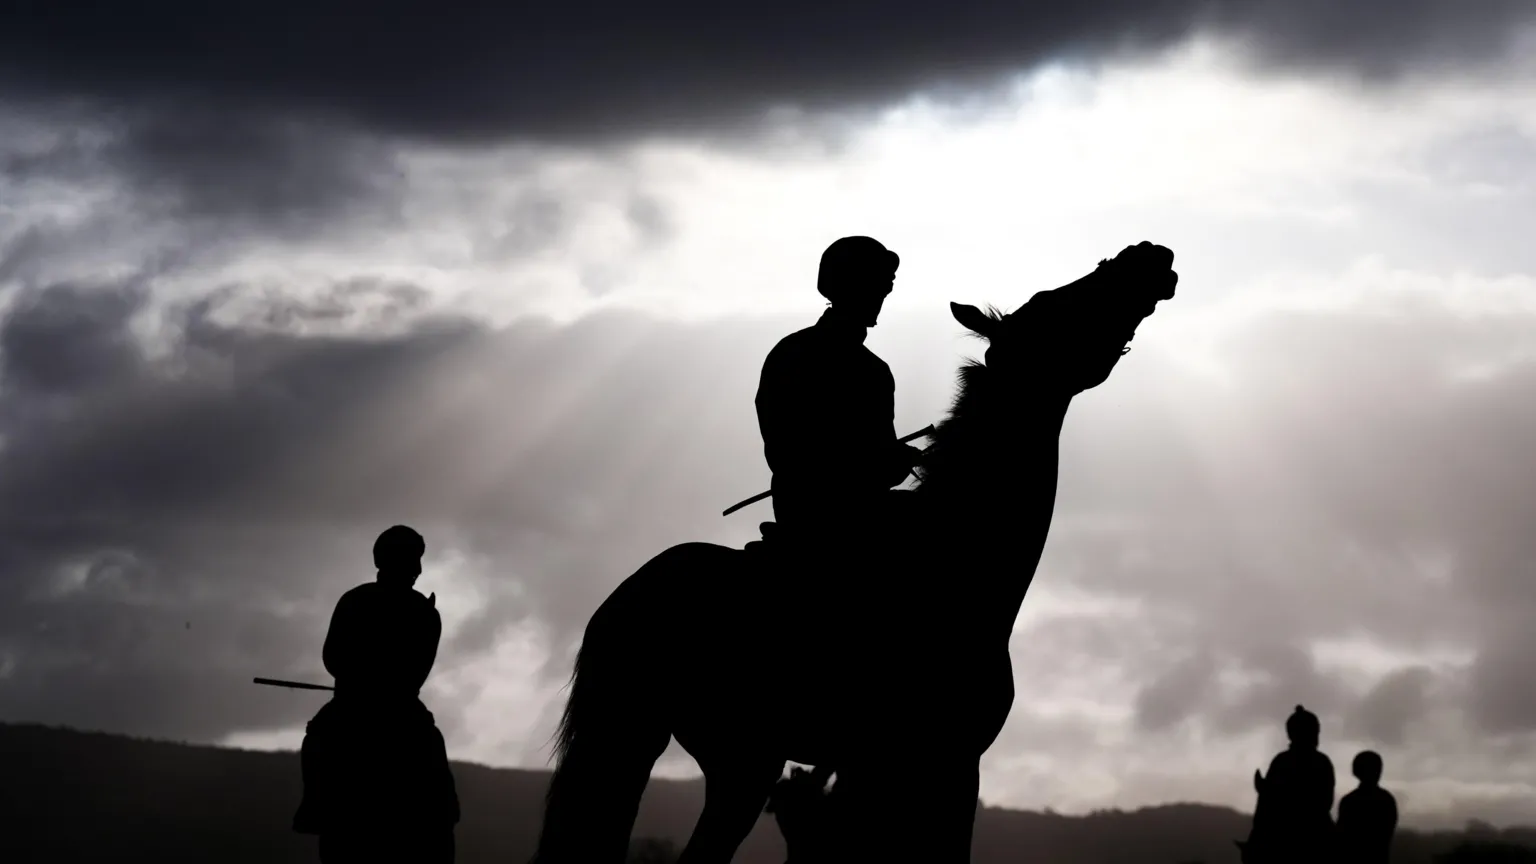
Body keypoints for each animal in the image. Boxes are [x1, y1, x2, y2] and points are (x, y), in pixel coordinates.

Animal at [531, 242, 1180, 863]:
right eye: (1053, 306)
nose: (1149, 254)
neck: (954, 564)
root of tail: (624, 598)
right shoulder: (937, 762)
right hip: (737, 756)